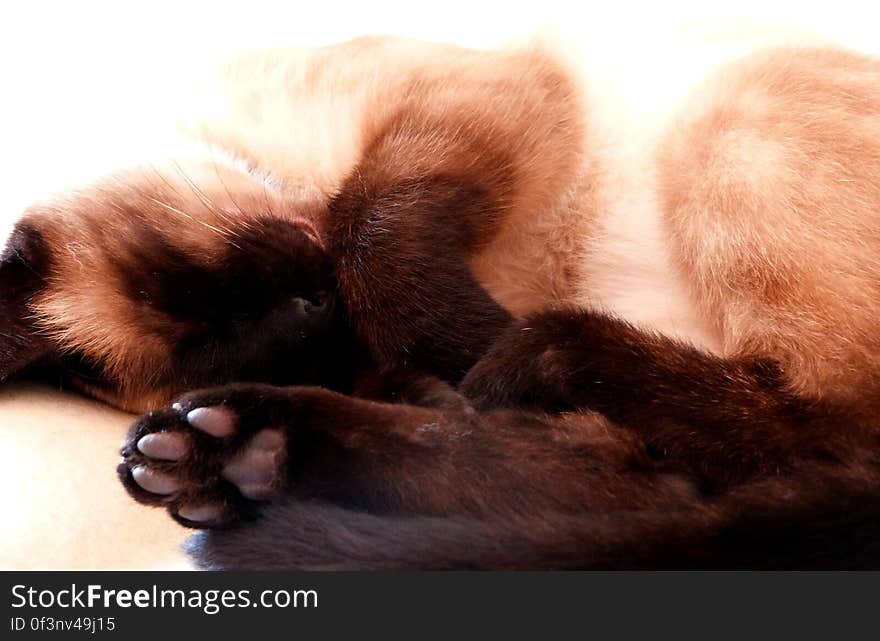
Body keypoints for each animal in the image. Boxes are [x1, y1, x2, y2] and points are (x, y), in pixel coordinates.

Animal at [1, 25, 880, 568]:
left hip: (729, 120)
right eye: (250, 335)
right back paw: (232, 459)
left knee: (823, 434)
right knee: (650, 482)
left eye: (202, 285)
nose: (311, 305)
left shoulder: (466, 108)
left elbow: (371, 224)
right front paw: (433, 377)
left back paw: (521, 358)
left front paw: (462, 350)